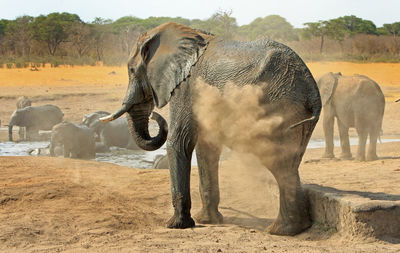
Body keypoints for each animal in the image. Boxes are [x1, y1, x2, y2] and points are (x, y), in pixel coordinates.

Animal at [101, 22, 322, 236]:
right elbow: (206, 147)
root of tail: (311, 88)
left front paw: (176, 225)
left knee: (279, 164)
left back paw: (281, 231)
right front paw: (207, 221)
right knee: (289, 164)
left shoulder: (186, 87)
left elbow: (179, 141)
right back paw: (293, 228)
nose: (155, 115)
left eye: (131, 70)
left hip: (277, 107)